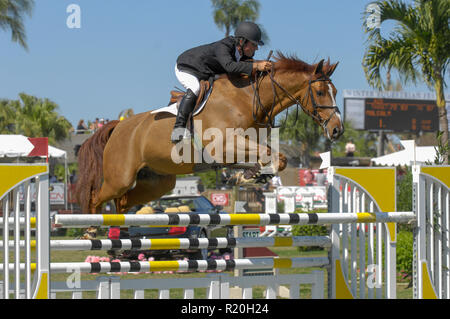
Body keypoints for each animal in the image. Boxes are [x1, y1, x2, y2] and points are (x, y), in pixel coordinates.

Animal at [75, 52, 342, 214]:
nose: (337, 129)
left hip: (158, 181)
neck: (249, 99)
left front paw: (248, 177)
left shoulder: (238, 150)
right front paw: (248, 177)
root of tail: (118, 126)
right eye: (320, 92)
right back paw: (92, 230)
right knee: (97, 197)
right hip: (119, 178)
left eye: (336, 91)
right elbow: (271, 156)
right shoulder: (224, 146)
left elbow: (276, 158)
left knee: (122, 202)